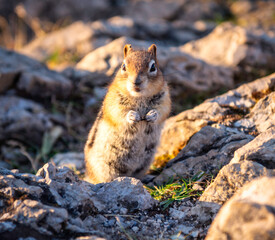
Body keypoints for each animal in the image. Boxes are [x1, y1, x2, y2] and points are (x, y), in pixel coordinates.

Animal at [84, 44, 170, 184]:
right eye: (123, 66)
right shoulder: (113, 101)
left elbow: (162, 111)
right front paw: (132, 116)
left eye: (153, 67)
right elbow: (118, 113)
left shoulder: (165, 98)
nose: (136, 81)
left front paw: (152, 115)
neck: (139, 97)